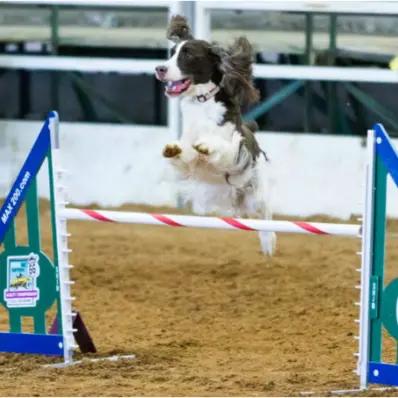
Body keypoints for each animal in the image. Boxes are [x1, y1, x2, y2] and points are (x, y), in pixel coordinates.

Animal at [154, 15, 276, 255]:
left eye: (188, 54)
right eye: (172, 52)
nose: (159, 69)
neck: (202, 104)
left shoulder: (233, 152)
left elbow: (221, 146)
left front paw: (207, 146)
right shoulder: (191, 158)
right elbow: (185, 154)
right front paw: (172, 148)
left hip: (256, 191)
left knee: (265, 217)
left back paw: (268, 244)